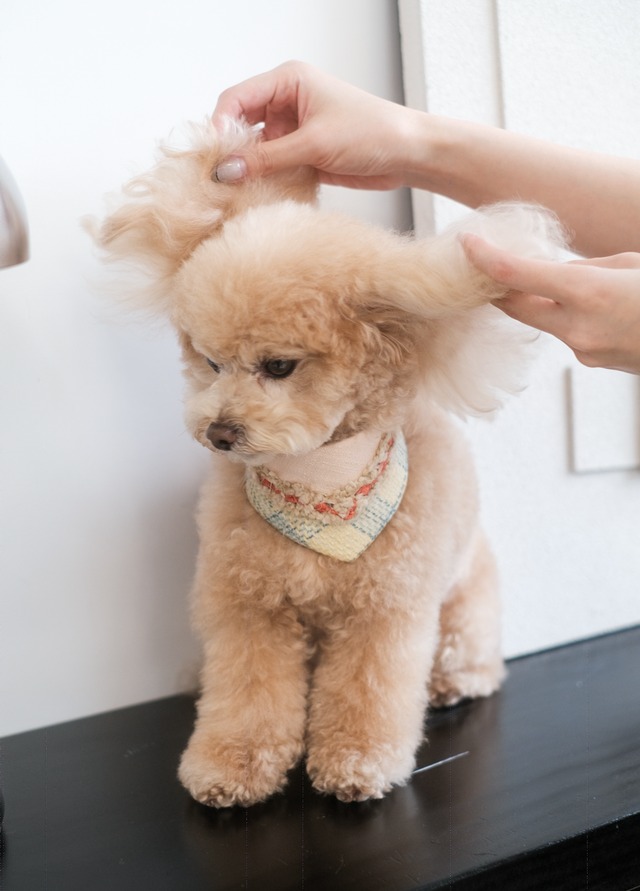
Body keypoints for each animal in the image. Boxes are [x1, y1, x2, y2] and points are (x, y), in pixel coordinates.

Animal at [91, 120, 565, 806]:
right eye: (210, 363)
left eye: (279, 365)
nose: (220, 433)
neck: (320, 487)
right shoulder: (249, 608)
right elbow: (247, 693)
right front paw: (231, 768)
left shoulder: (384, 611)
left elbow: (369, 691)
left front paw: (357, 764)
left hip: (465, 604)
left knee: (469, 655)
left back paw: (456, 683)